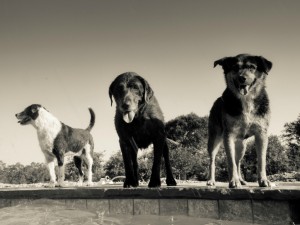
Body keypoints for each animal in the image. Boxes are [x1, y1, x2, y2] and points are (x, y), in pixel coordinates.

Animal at [207, 54, 274, 188]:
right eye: (234, 67)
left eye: (252, 67)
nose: (242, 78)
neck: (246, 100)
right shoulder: (228, 135)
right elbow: (230, 161)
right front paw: (233, 181)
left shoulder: (262, 134)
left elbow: (261, 160)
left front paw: (263, 180)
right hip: (214, 139)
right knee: (213, 160)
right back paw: (212, 181)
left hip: (242, 146)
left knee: (238, 161)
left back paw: (242, 180)